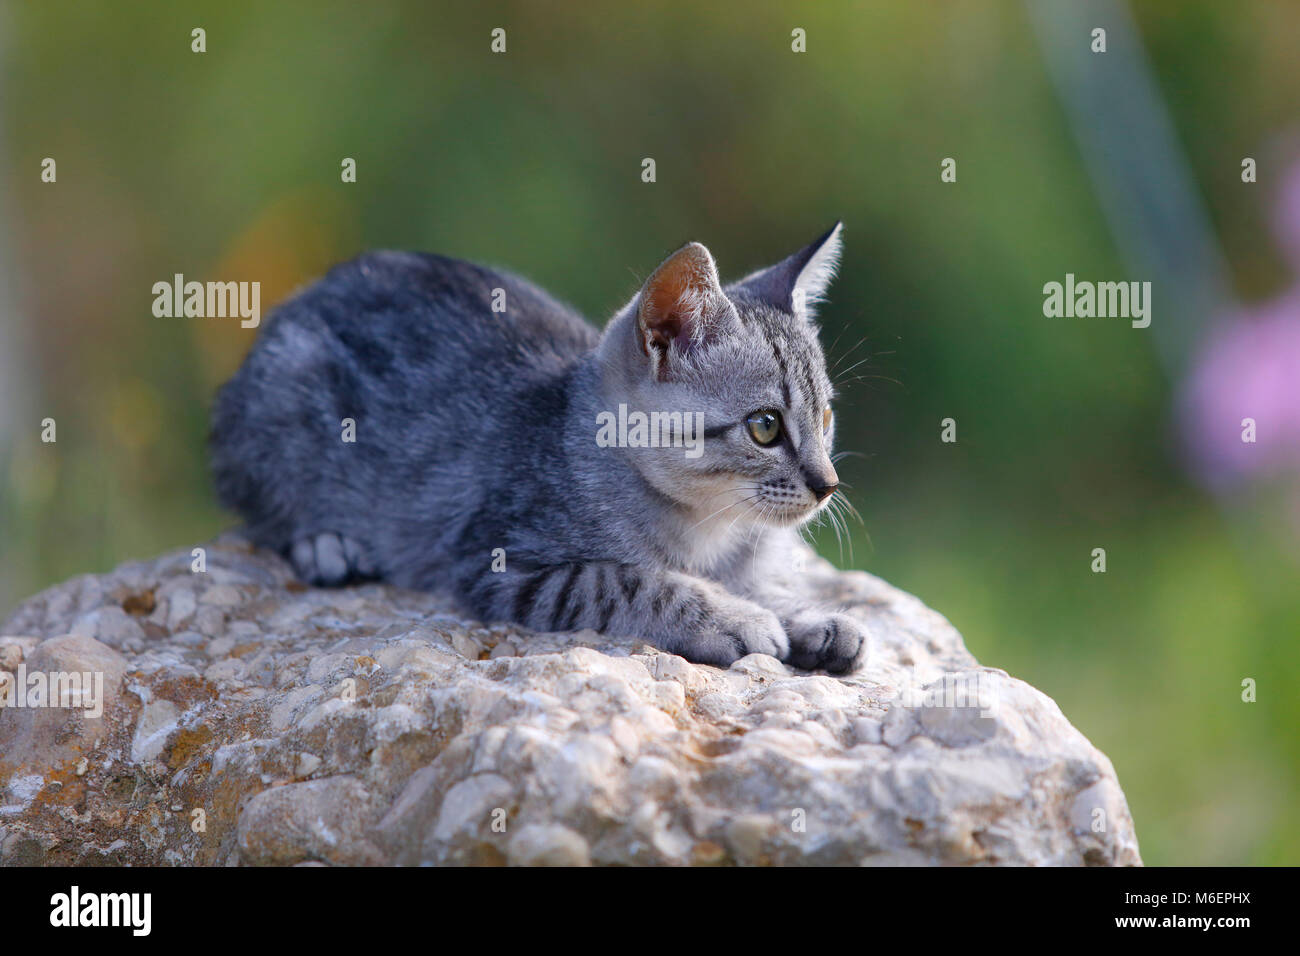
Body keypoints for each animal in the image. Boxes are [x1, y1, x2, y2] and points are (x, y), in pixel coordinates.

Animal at [210, 223, 863, 671]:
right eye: (765, 426)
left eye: (827, 416)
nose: (827, 484)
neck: (709, 529)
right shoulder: (500, 560)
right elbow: (631, 581)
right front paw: (735, 616)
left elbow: (760, 582)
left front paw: (806, 617)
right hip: (282, 403)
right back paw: (327, 544)